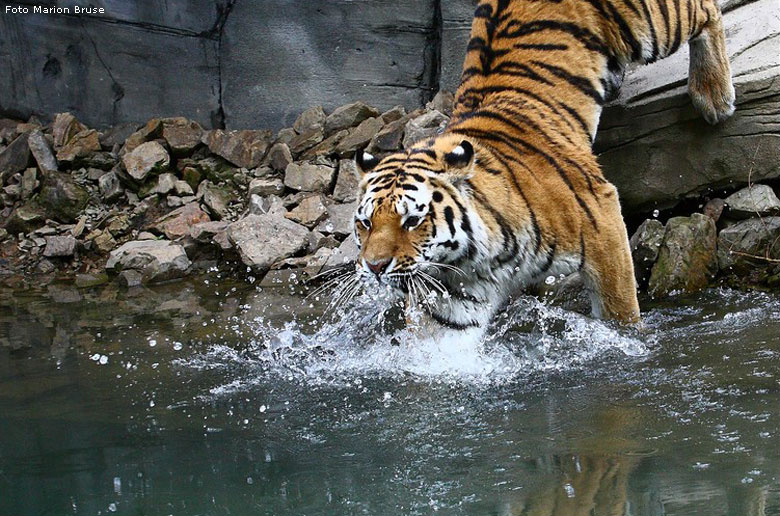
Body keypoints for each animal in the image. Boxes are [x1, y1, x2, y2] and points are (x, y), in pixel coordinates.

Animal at [350, 0, 736, 330]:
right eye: (365, 223)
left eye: (412, 221)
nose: (374, 267)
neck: (473, 257)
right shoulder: (452, 295)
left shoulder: (603, 222)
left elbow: (619, 310)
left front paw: (631, 338)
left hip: (648, 23)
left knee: (706, 11)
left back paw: (713, 95)